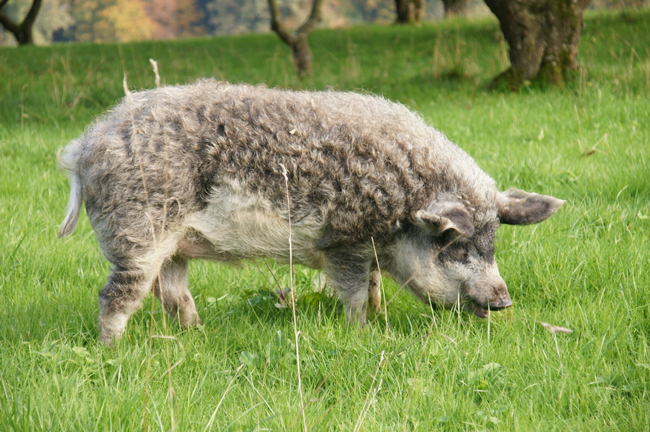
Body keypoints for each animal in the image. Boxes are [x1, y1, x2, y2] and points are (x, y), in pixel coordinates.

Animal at [59, 79, 560, 344]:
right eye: (457, 248)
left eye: (493, 245)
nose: (504, 300)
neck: (401, 207)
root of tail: (85, 145)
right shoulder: (344, 241)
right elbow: (353, 293)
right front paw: (361, 333)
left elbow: (374, 288)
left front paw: (379, 317)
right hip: (137, 231)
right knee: (116, 295)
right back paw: (111, 349)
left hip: (172, 243)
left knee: (171, 292)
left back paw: (197, 334)